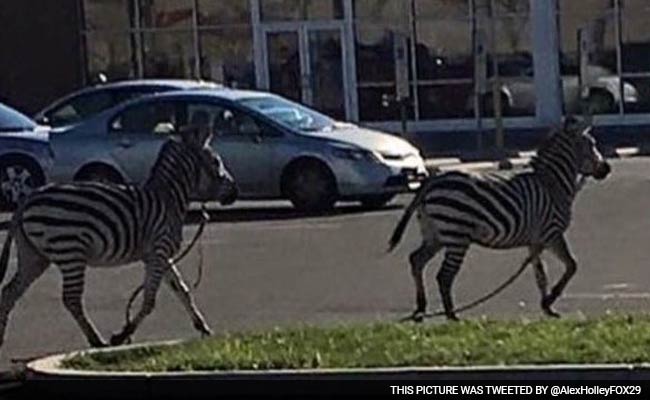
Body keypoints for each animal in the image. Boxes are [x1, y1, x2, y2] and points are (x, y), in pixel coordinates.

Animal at [0, 128, 235, 346]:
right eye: (216, 162)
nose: (234, 192)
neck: (169, 198)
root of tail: (27, 199)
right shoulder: (159, 251)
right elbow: (149, 301)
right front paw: (122, 336)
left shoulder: (161, 255)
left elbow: (183, 291)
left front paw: (203, 327)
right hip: (70, 252)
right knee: (71, 299)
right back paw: (97, 340)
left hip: (34, 256)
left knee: (9, 292)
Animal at [388, 117, 612, 320]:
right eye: (592, 145)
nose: (607, 169)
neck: (552, 183)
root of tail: (432, 182)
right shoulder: (551, 233)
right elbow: (572, 265)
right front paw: (551, 299)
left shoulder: (535, 241)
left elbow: (540, 274)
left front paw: (546, 306)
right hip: (456, 234)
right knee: (443, 275)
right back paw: (452, 315)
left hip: (436, 234)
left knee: (416, 260)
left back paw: (421, 306)